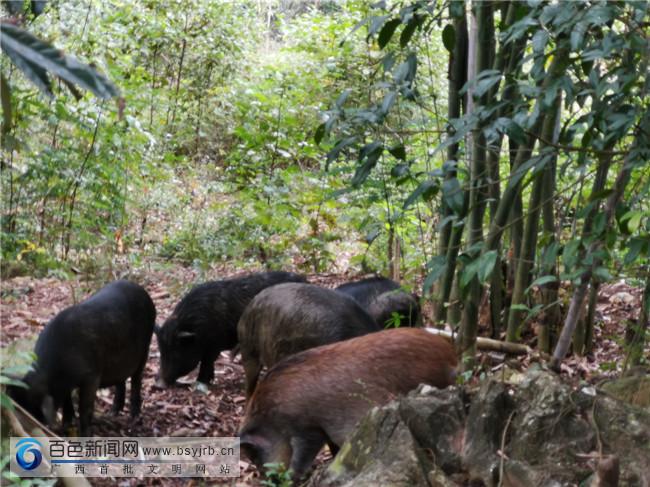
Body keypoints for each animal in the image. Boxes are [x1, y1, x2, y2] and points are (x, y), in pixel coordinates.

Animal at [8, 280, 154, 436]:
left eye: (34, 414)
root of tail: (143, 292)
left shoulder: (92, 376)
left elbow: (85, 408)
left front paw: (84, 434)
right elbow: (67, 401)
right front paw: (66, 424)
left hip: (146, 346)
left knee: (137, 379)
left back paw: (134, 416)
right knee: (121, 380)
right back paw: (112, 413)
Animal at [154, 268, 304, 386]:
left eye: (175, 352)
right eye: (162, 352)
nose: (158, 384)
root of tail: (304, 279)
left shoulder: (214, 344)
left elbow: (207, 361)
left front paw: (201, 382)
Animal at [238, 328, 456, 480]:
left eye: (255, 455)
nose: (267, 479)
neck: (272, 416)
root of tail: (450, 354)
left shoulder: (307, 427)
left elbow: (302, 457)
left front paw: (292, 478)